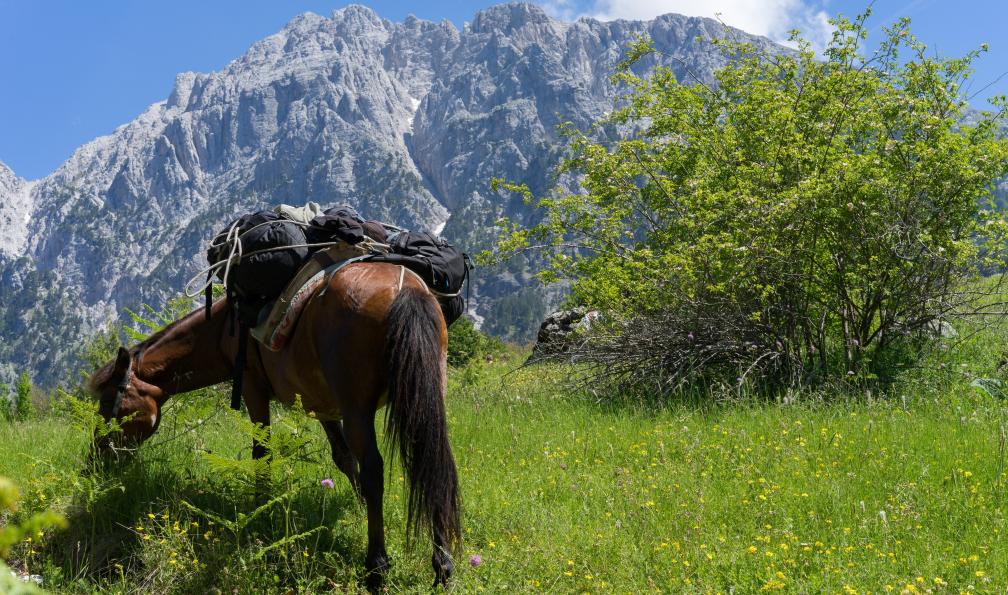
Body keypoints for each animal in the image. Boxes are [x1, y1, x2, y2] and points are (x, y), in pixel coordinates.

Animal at [86, 262, 461, 589]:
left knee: (376, 468)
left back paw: (377, 568)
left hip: (359, 409)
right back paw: (442, 565)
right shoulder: (322, 405)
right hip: (425, 394)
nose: (94, 462)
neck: (225, 326)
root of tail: (405, 290)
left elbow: (263, 456)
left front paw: (258, 513)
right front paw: (356, 507)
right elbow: (344, 459)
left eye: (108, 405)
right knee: (432, 462)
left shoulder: (254, 389)